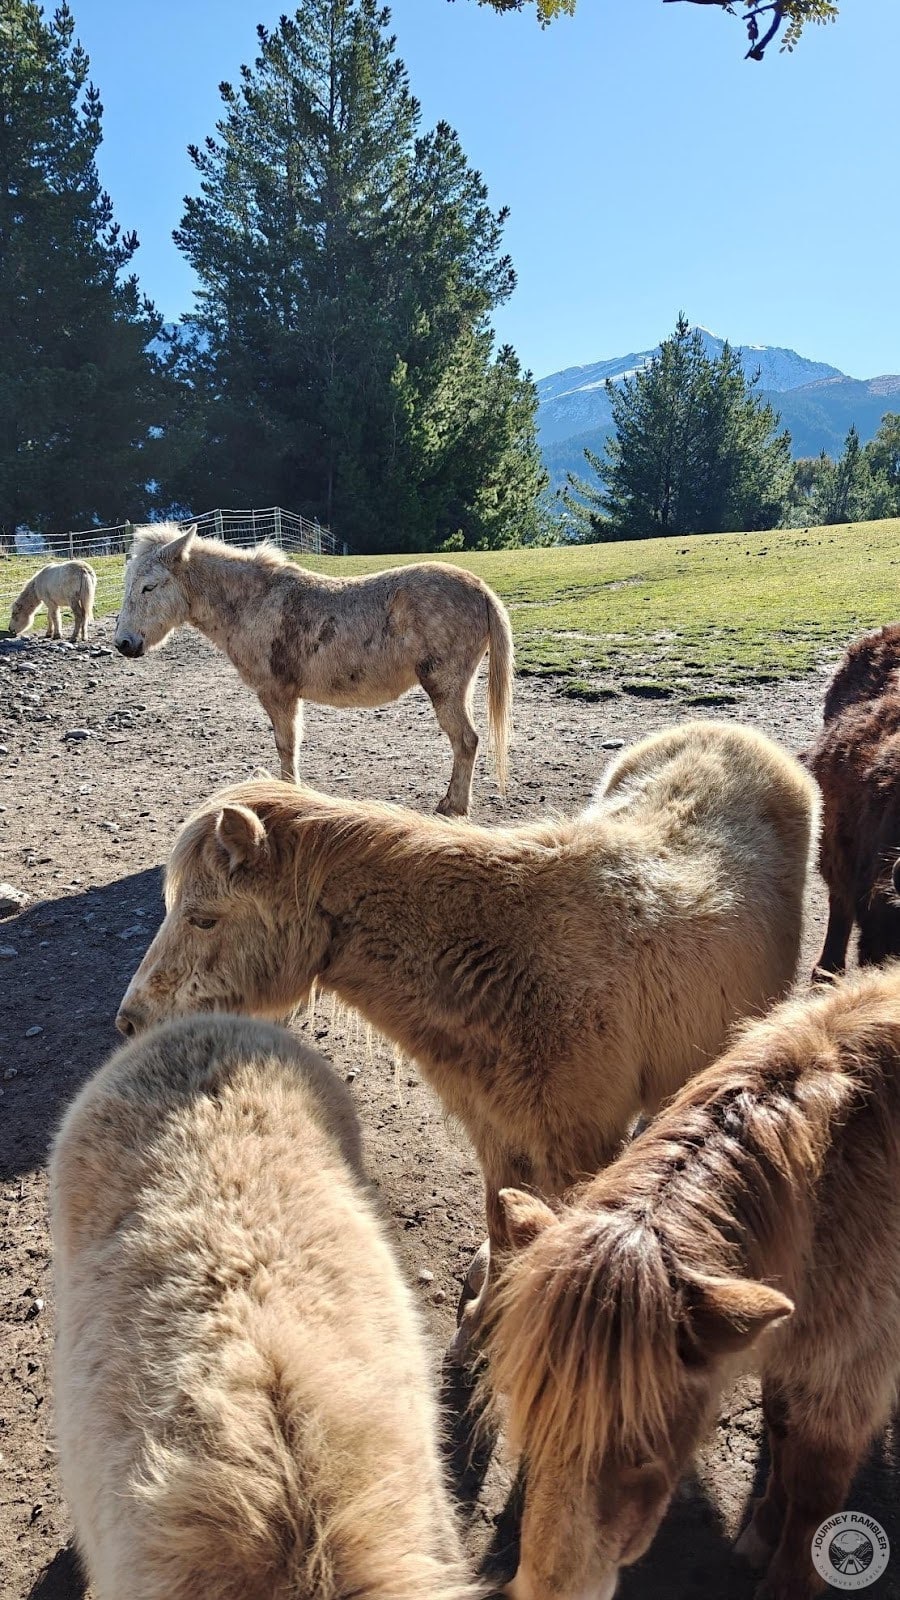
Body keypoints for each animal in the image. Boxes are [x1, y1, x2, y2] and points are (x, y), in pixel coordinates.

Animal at [113, 523, 513, 816]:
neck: (252, 603)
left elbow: (286, 745)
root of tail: (481, 590)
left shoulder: (277, 693)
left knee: (466, 741)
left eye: (149, 586)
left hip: (445, 686)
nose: (124, 643)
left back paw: (453, 807)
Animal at [116, 720, 817, 1357]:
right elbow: (503, 1225)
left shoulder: (580, 1149)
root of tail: (735, 735)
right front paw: (482, 1319)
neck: (504, 956)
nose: (131, 1020)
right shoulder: (495, 1134)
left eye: (204, 918)